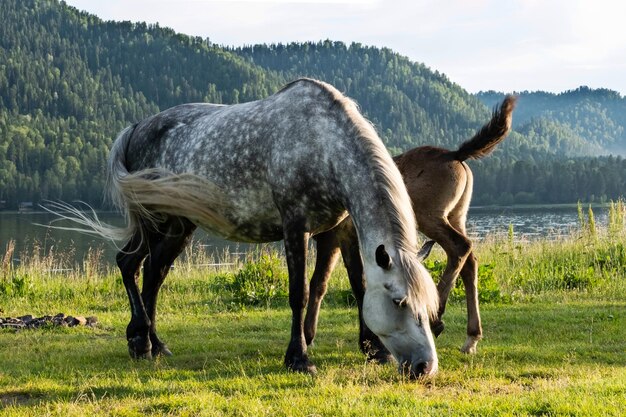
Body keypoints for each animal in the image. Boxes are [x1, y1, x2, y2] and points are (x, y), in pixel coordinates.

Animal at [61, 77, 436, 376]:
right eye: (399, 302)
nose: (425, 366)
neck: (322, 143)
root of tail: (136, 127)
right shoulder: (295, 227)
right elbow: (299, 293)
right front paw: (299, 358)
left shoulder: (342, 231)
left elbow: (358, 286)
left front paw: (375, 350)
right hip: (155, 221)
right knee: (129, 265)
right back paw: (139, 341)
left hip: (179, 226)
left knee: (153, 274)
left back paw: (156, 345)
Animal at [304, 94, 516, 358]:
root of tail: (456, 155)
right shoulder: (338, 238)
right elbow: (338, 281)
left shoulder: (336, 236)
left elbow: (333, 283)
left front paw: (316, 337)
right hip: (456, 216)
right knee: (470, 262)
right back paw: (471, 337)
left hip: (428, 216)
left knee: (460, 248)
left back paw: (436, 318)